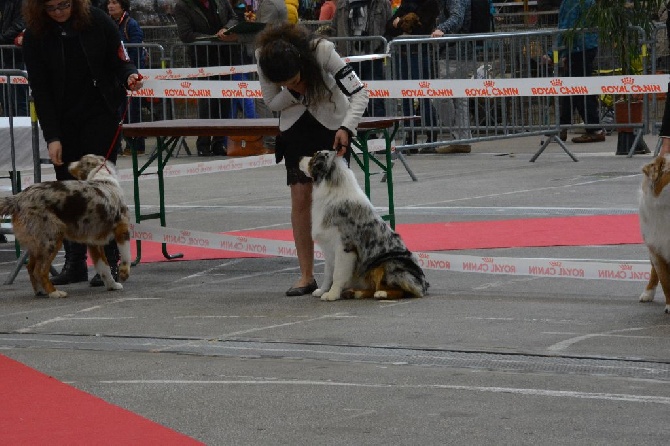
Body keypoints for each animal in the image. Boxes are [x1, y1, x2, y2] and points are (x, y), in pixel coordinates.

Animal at [300, 152, 430, 302]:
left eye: (313, 158)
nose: (299, 158)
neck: (331, 186)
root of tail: (423, 284)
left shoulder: (344, 247)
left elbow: (337, 274)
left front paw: (332, 294)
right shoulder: (328, 248)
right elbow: (328, 273)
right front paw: (322, 290)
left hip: (389, 263)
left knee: (401, 290)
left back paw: (381, 294)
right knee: (373, 287)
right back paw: (354, 293)